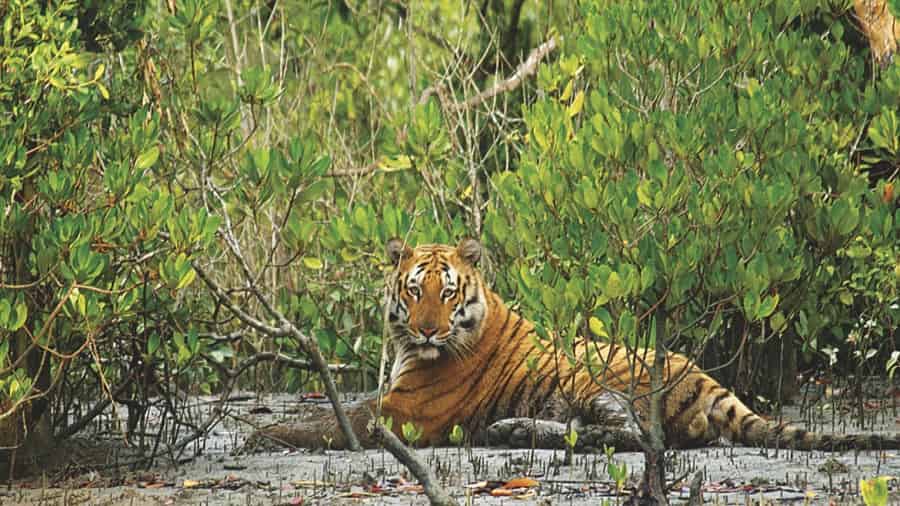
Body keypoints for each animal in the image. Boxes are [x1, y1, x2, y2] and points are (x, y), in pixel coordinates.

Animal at [249, 239, 900, 452]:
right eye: (414, 291)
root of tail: (711, 383)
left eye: (446, 291)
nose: (429, 329)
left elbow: (332, 417)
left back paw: (516, 431)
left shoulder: (405, 412)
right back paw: (509, 429)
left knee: (635, 439)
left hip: (594, 377)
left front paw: (262, 434)